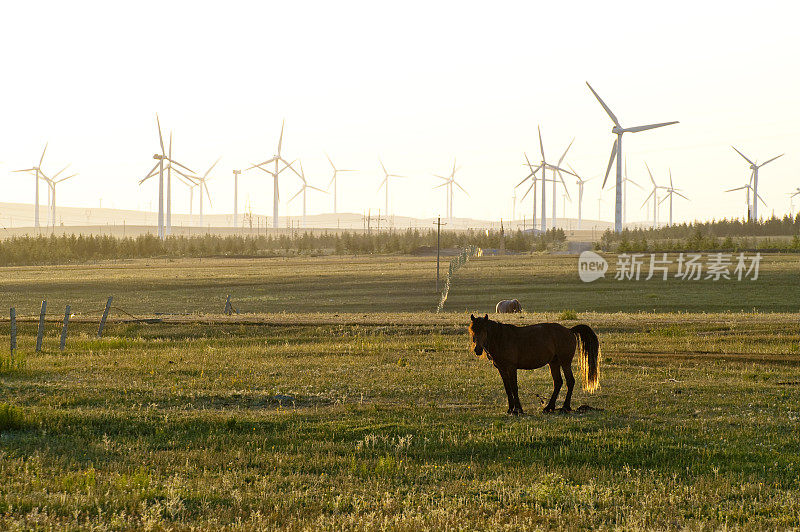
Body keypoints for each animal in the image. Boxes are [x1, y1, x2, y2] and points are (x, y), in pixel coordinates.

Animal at [468, 312, 600, 416]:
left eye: (484, 330)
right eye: (472, 330)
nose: (477, 350)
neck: (501, 339)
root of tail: (569, 330)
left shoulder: (511, 368)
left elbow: (514, 387)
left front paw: (518, 410)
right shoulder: (501, 369)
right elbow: (507, 388)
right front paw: (510, 409)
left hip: (565, 362)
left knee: (570, 381)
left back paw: (564, 407)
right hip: (554, 363)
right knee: (558, 382)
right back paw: (549, 407)